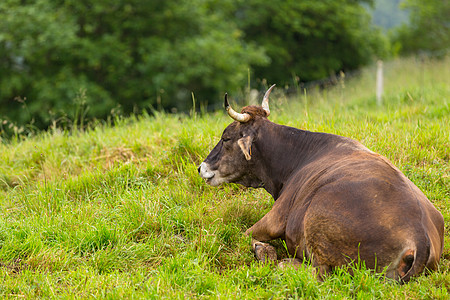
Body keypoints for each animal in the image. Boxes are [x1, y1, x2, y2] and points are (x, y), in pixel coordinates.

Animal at [199, 85, 444, 282]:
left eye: (226, 138)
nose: (201, 167)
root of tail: (419, 234)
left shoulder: (276, 217)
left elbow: (246, 235)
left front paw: (264, 250)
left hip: (317, 221)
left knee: (320, 272)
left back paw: (283, 262)